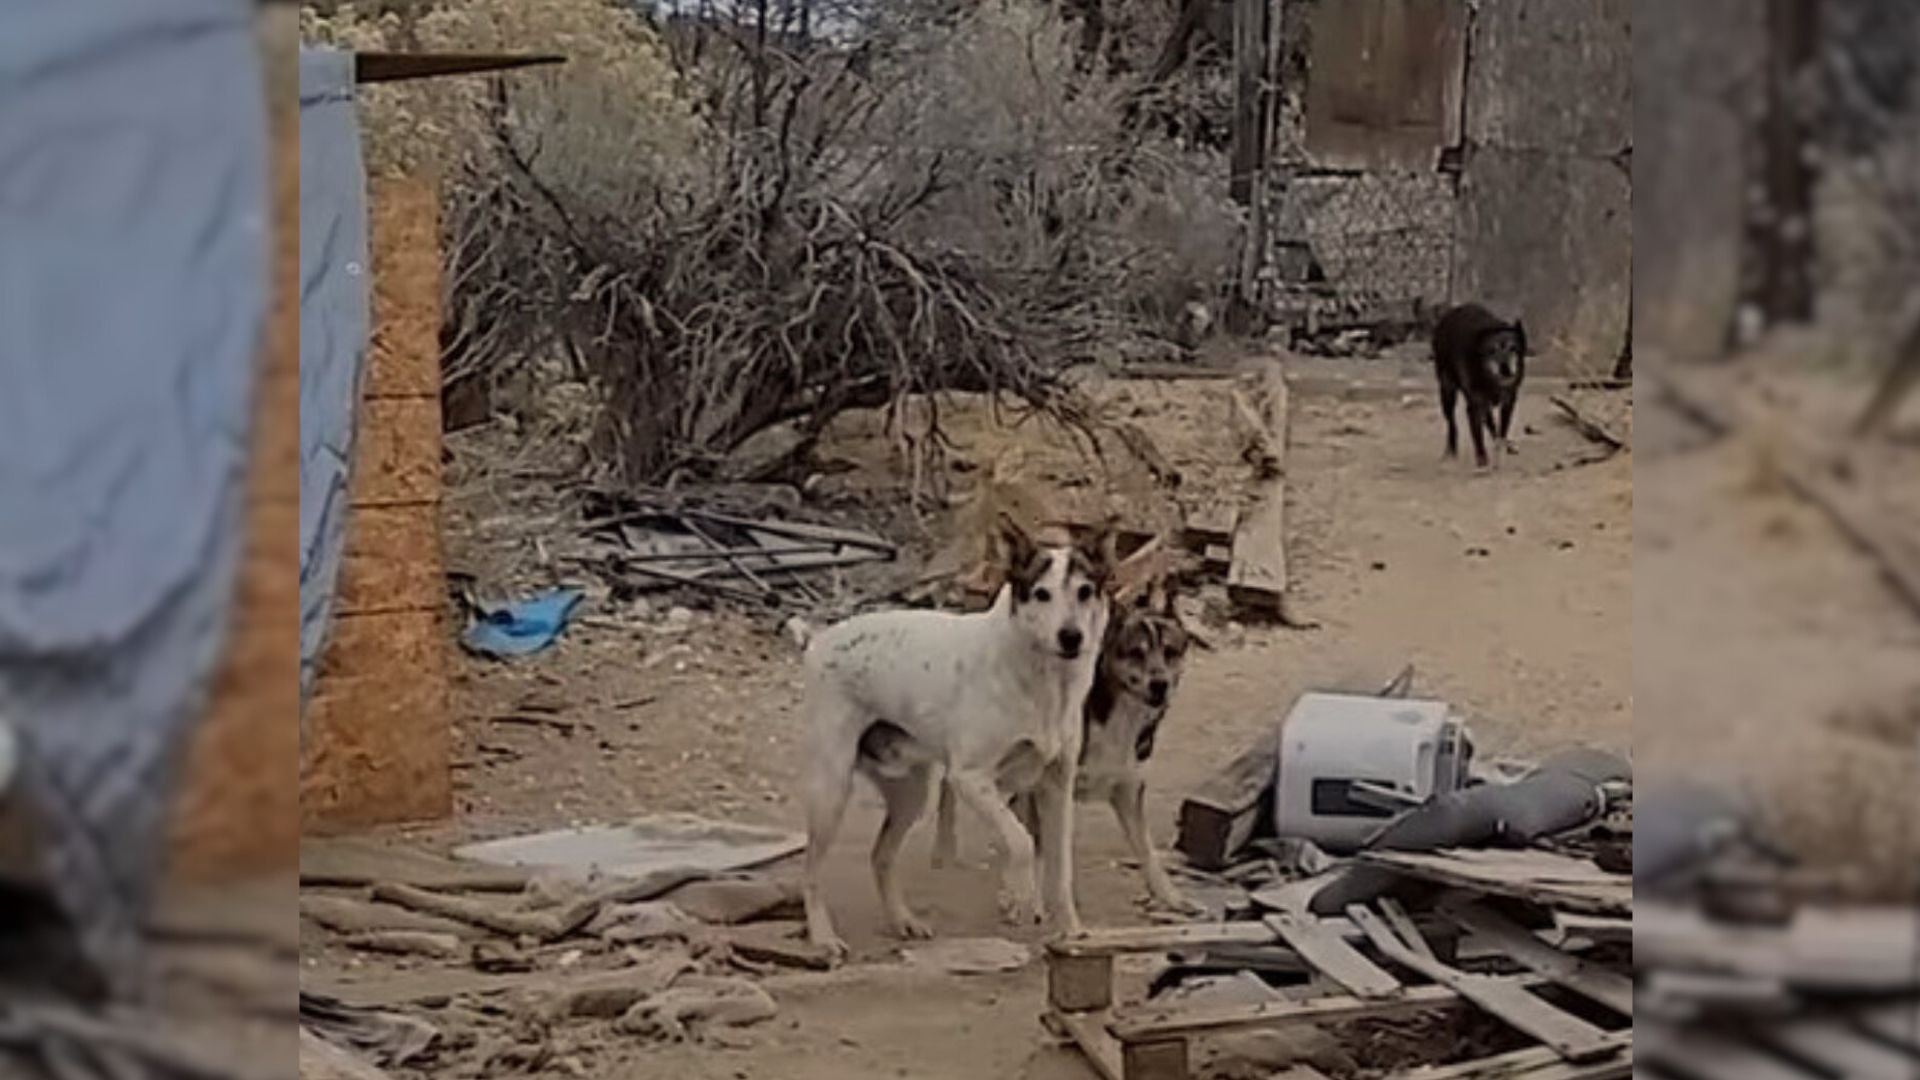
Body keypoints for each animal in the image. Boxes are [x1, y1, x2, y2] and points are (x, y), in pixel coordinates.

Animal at [794, 518, 1121, 953]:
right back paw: (823, 936)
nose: (1071, 637)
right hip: (830, 791)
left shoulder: (1056, 785)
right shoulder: (969, 777)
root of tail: (818, 640)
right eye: (1041, 593)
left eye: (1085, 591)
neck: (1043, 680)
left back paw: (903, 920)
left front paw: (1070, 931)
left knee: (881, 856)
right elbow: (1020, 840)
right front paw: (1020, 896)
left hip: (912, 794)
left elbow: (1058, 867)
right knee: (810, 872)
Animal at [1443, 305, 1528, 468]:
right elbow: (1477, 435)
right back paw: (1451, 448)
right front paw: (1482, 457)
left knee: (1490, 422)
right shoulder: (1474, 407)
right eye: (1491, 351)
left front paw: (1501, 447)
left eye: (1513, 348)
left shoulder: (1508, 402)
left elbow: (1502, 429)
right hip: (1447, 392)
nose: (1505, 370)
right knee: (1451, 422)